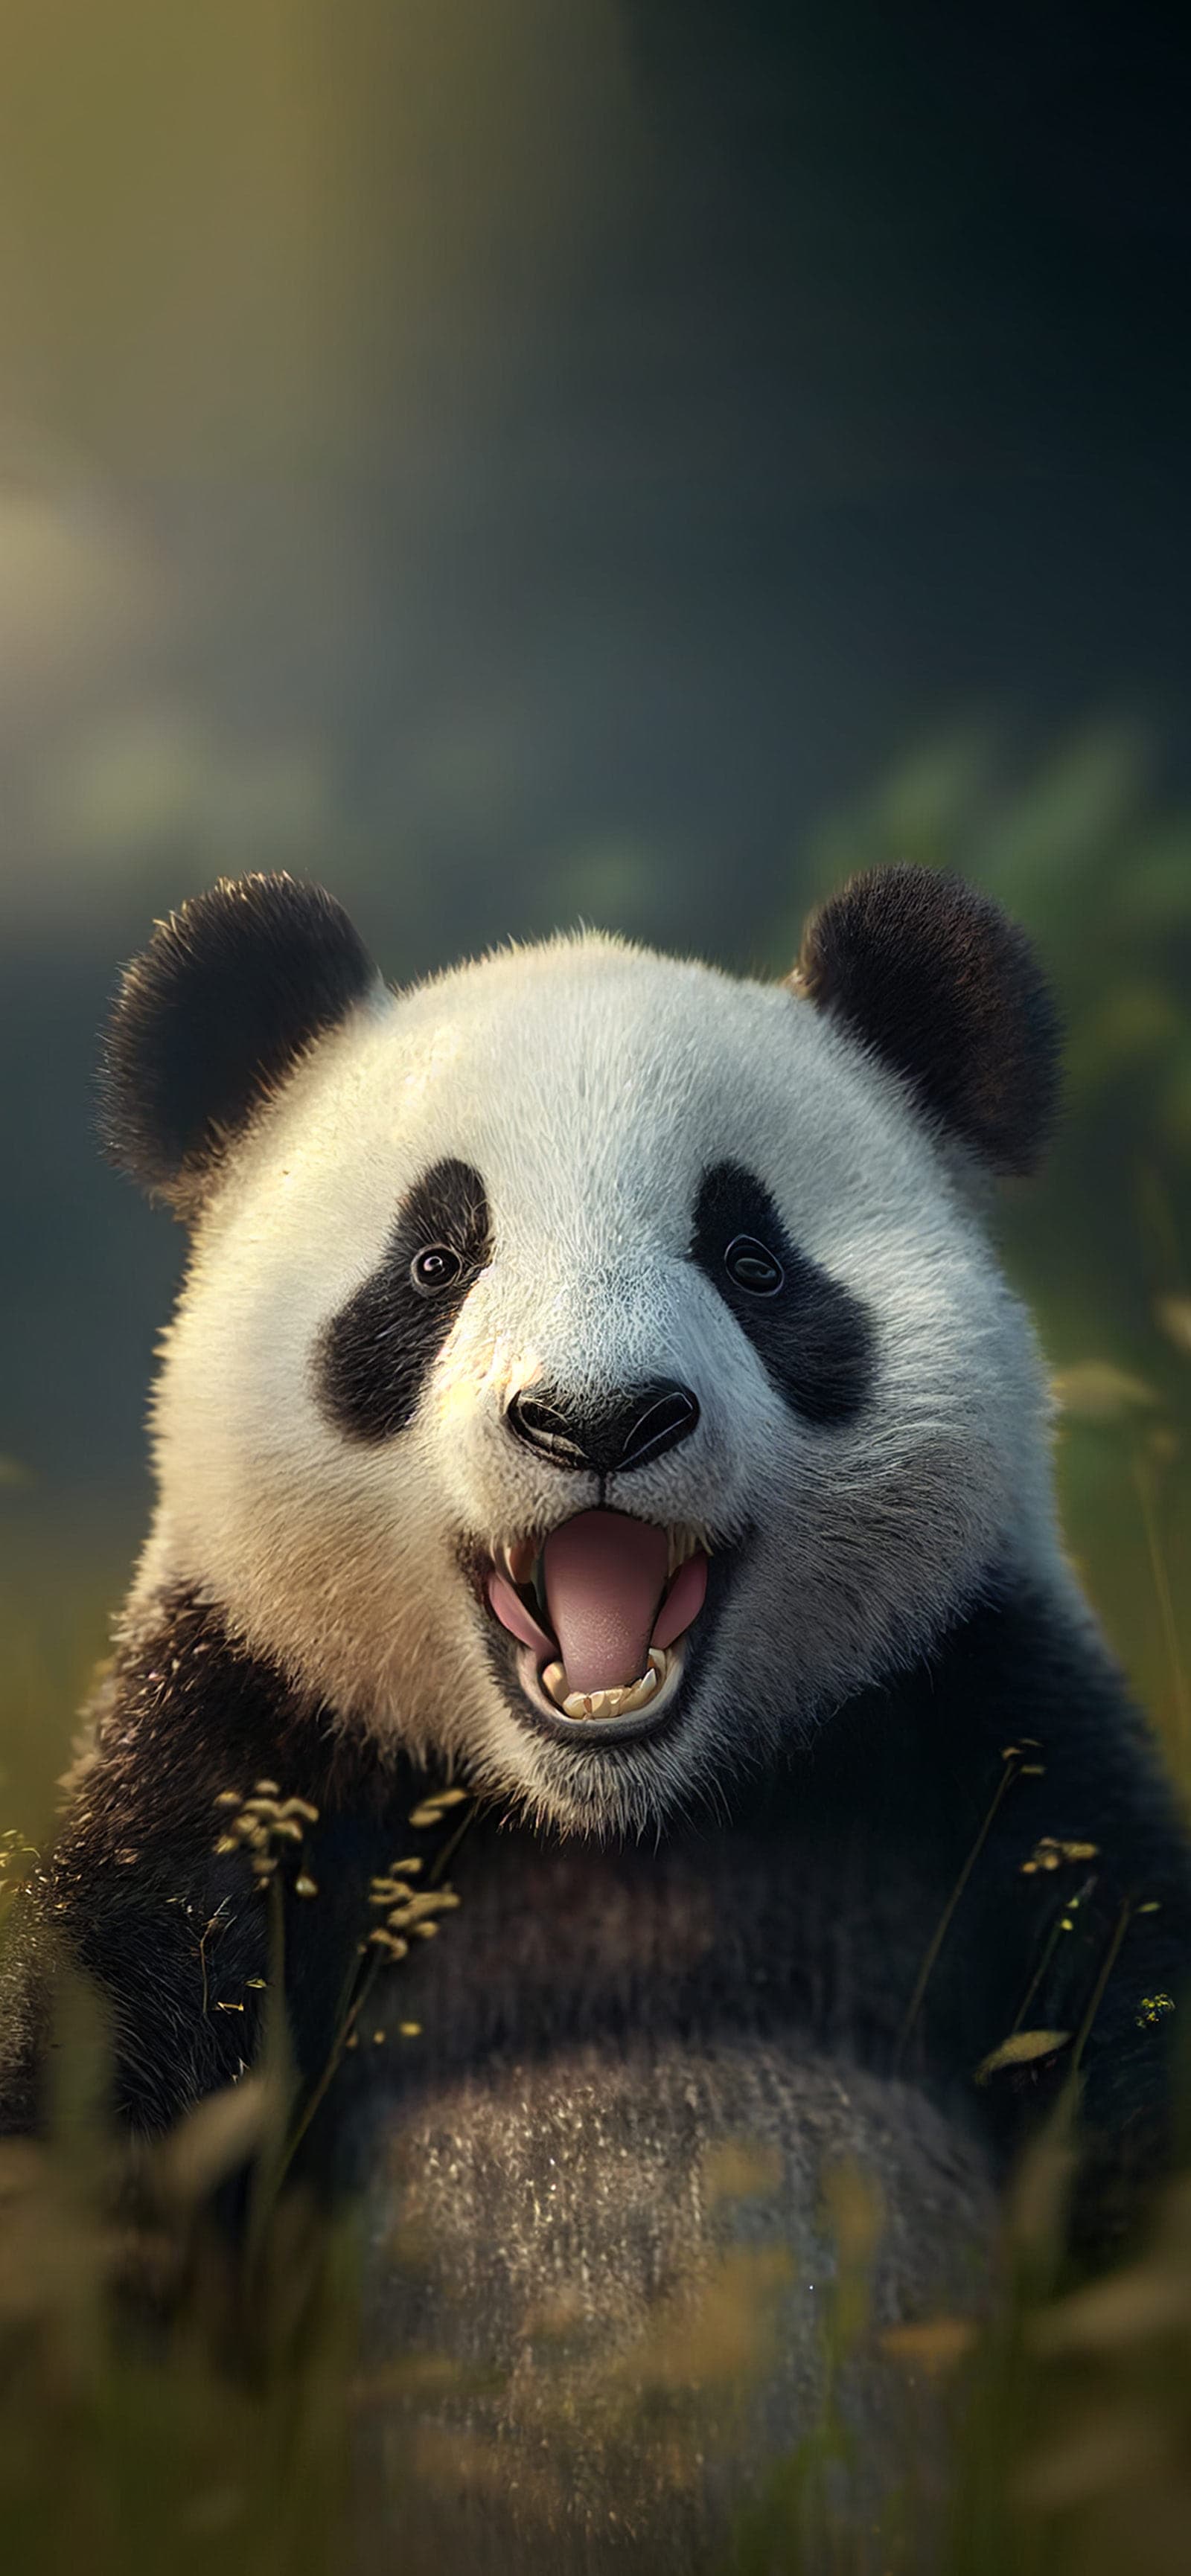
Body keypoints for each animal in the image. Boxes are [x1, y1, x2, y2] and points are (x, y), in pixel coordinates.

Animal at [3, 865, 1189, 2570]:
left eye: (751, 1258)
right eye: (435, 1263)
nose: (597, 1419)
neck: (610, 1820)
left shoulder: (984, 1738)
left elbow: (1126, 2102)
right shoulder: (235, 1766)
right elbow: (111, 2168)